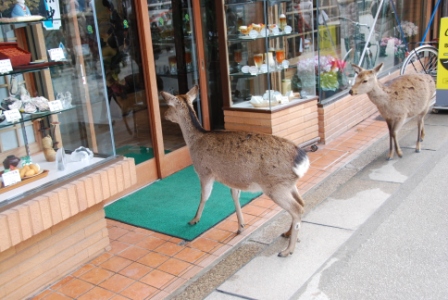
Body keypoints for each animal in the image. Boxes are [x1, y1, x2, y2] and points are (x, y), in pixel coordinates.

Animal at [162, 85, 312, 256]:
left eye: (169, 106)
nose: (164, 115)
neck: (195, 140)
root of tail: (302, 159)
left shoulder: (204, 171)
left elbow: (204, 196)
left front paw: (194, 220)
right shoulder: (232, 178)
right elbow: (234, 197)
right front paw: (241, 226)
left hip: (275, 186)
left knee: (297, 208)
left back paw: (288, 250)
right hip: (289, 184)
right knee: (302, 202)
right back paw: (287, 233)